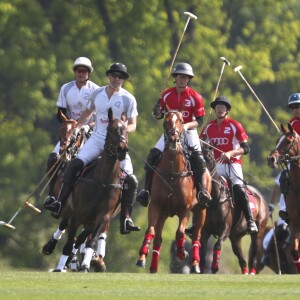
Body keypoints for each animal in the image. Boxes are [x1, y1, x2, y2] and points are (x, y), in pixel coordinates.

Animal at [136, 110, 211, 274]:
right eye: (166, 121)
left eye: (181, 121)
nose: (173, 140)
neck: (172, 172)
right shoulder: (156, 205)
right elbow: (150, 231)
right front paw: (142, 258)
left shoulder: (185, 209)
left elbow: (180, 232)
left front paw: (182, 253)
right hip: (164, 213)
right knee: (158, 238)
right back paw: (153, 267)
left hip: (201, 210)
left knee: (197, 236)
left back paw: (195, 265)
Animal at [200, 145, 268, 274]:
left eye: (210, 157)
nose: (204, 176)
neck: (216, 198)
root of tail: (262, 198)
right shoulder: (206, 230)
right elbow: (202, 248)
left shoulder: (225, 229)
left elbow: (217, 245)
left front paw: (215, 267)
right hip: (235, 238)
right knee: (242, 260)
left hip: (258, 233)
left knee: (254, 256)